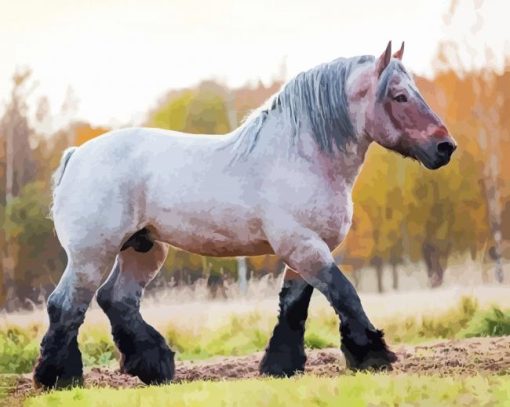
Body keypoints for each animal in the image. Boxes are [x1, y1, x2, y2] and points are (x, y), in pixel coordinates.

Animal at [33, 41, 456, 388]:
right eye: (399, 96)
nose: (445, 147)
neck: (301, 155)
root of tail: (76, 156)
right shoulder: (304, 246)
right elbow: (345, 294)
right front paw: (373, 356)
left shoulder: (303, 252)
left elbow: (294, 306)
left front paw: (281, 366)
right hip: (92, 255)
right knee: (66, 305)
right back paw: (59, 378)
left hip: (143, 249)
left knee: (116, 300)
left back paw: (155, 367)